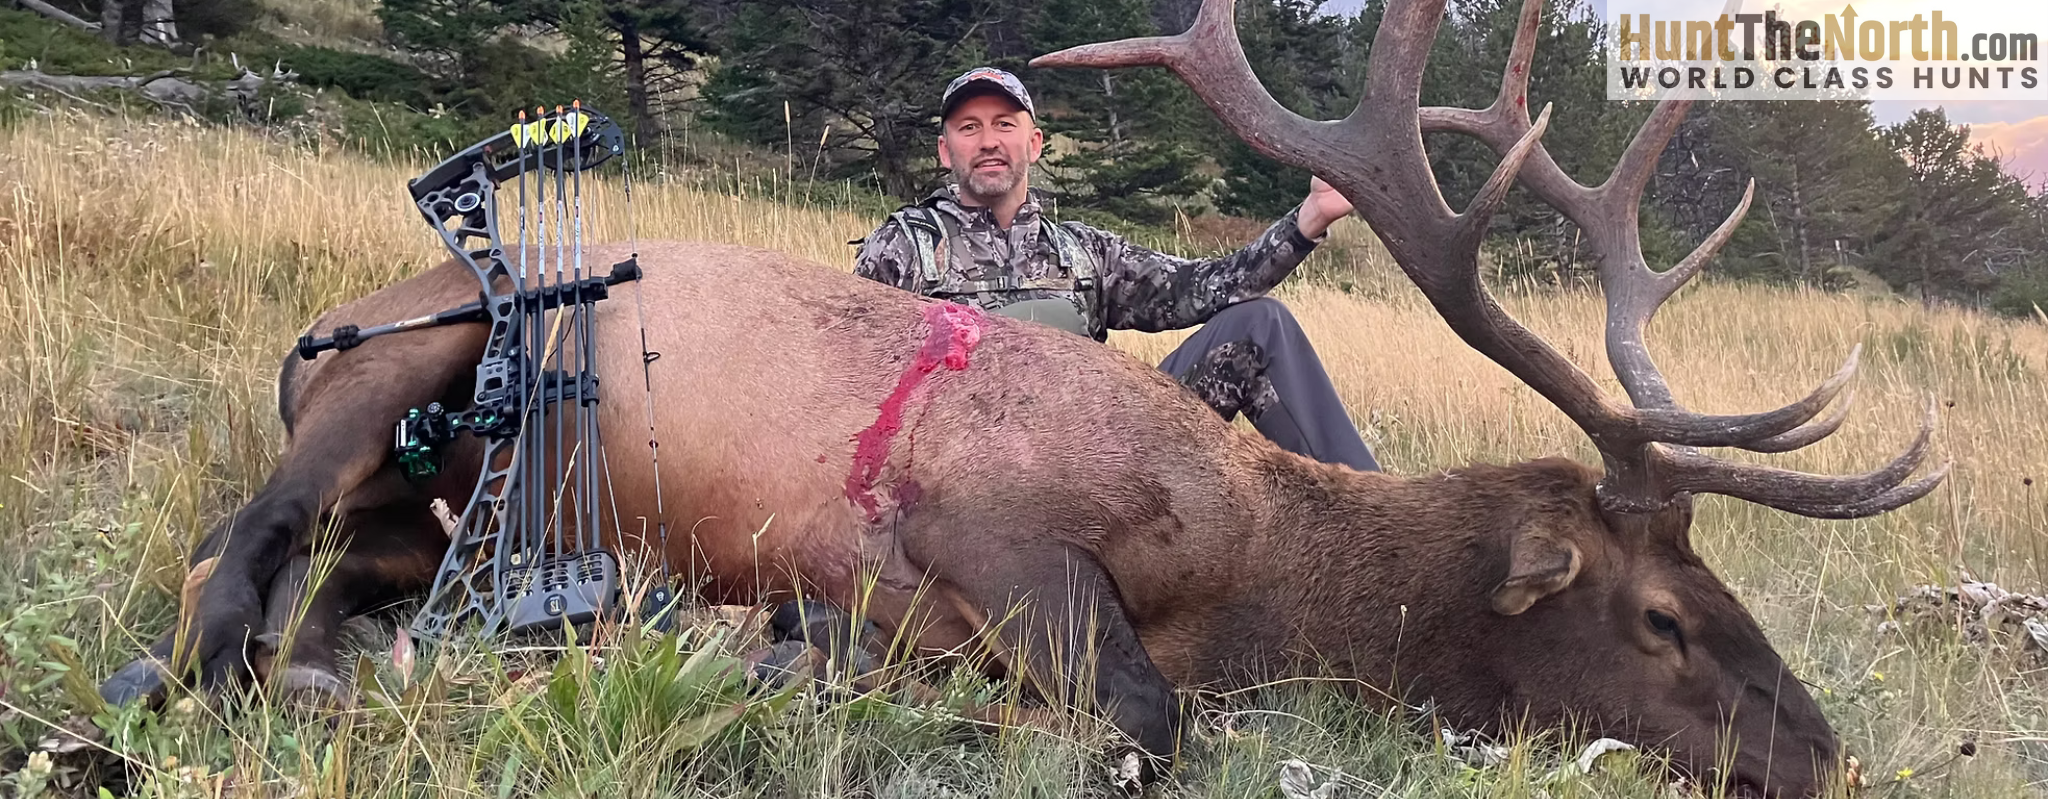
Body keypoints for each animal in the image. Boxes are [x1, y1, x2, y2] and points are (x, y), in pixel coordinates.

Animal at [95, 0, 1948, 795]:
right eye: (1658, 613)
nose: (1824, 752)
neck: (1252, 567)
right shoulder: (983, 536)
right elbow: (1138, 710)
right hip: (387, 367)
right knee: (221, 569)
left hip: (433, 514)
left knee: (328, 581)